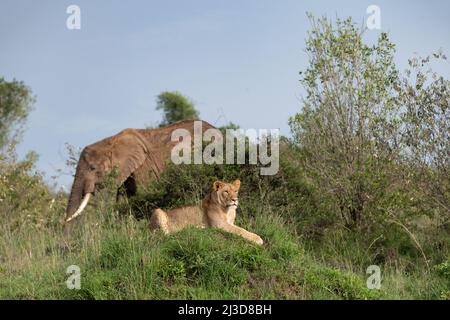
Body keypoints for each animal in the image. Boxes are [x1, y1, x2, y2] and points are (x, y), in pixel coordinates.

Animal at [63, 120, 216, 238]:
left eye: (93, 168)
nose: (67, 247)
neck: (111, 141)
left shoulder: (145, 166)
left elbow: (144, 195)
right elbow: (122, 200)